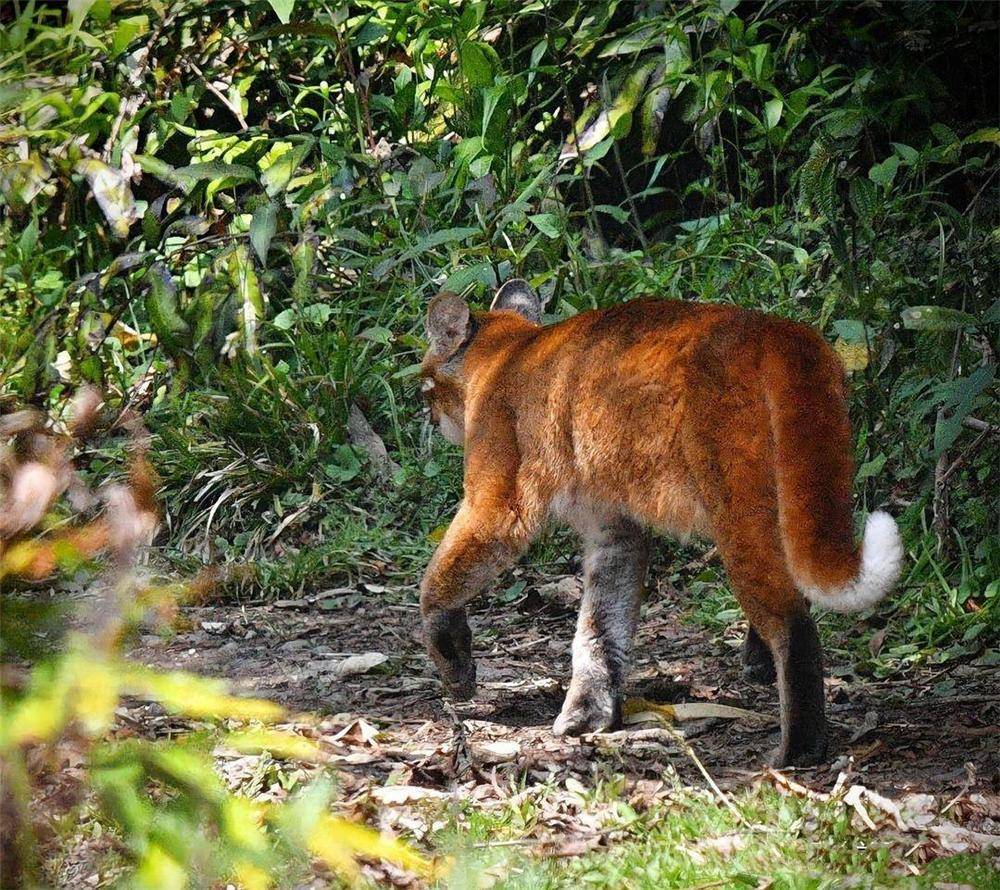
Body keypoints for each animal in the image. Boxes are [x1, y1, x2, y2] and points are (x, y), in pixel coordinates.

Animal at [418, 280, 904, 764]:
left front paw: (454, 665)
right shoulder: (613, 525)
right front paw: (589, 710)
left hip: (735, 506)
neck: (507, 350)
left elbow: (437, 582)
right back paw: (760, 663)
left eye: (425, 384)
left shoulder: (496, 505)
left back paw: (799, 750)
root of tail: (780, 330)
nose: (427, 417)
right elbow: (602, 618)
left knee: (792, 622)